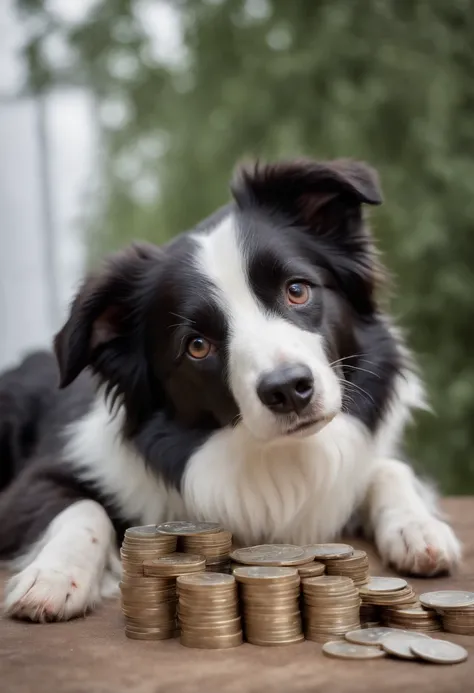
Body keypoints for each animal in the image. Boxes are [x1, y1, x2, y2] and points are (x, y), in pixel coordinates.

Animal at [0, 158, 460, 620]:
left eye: (297, 289)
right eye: (197, 345)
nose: (289, 390)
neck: (274, 455)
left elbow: (389, 468)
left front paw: (419, 527)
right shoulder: (36, 479)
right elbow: (84, 507)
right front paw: (55, 575)